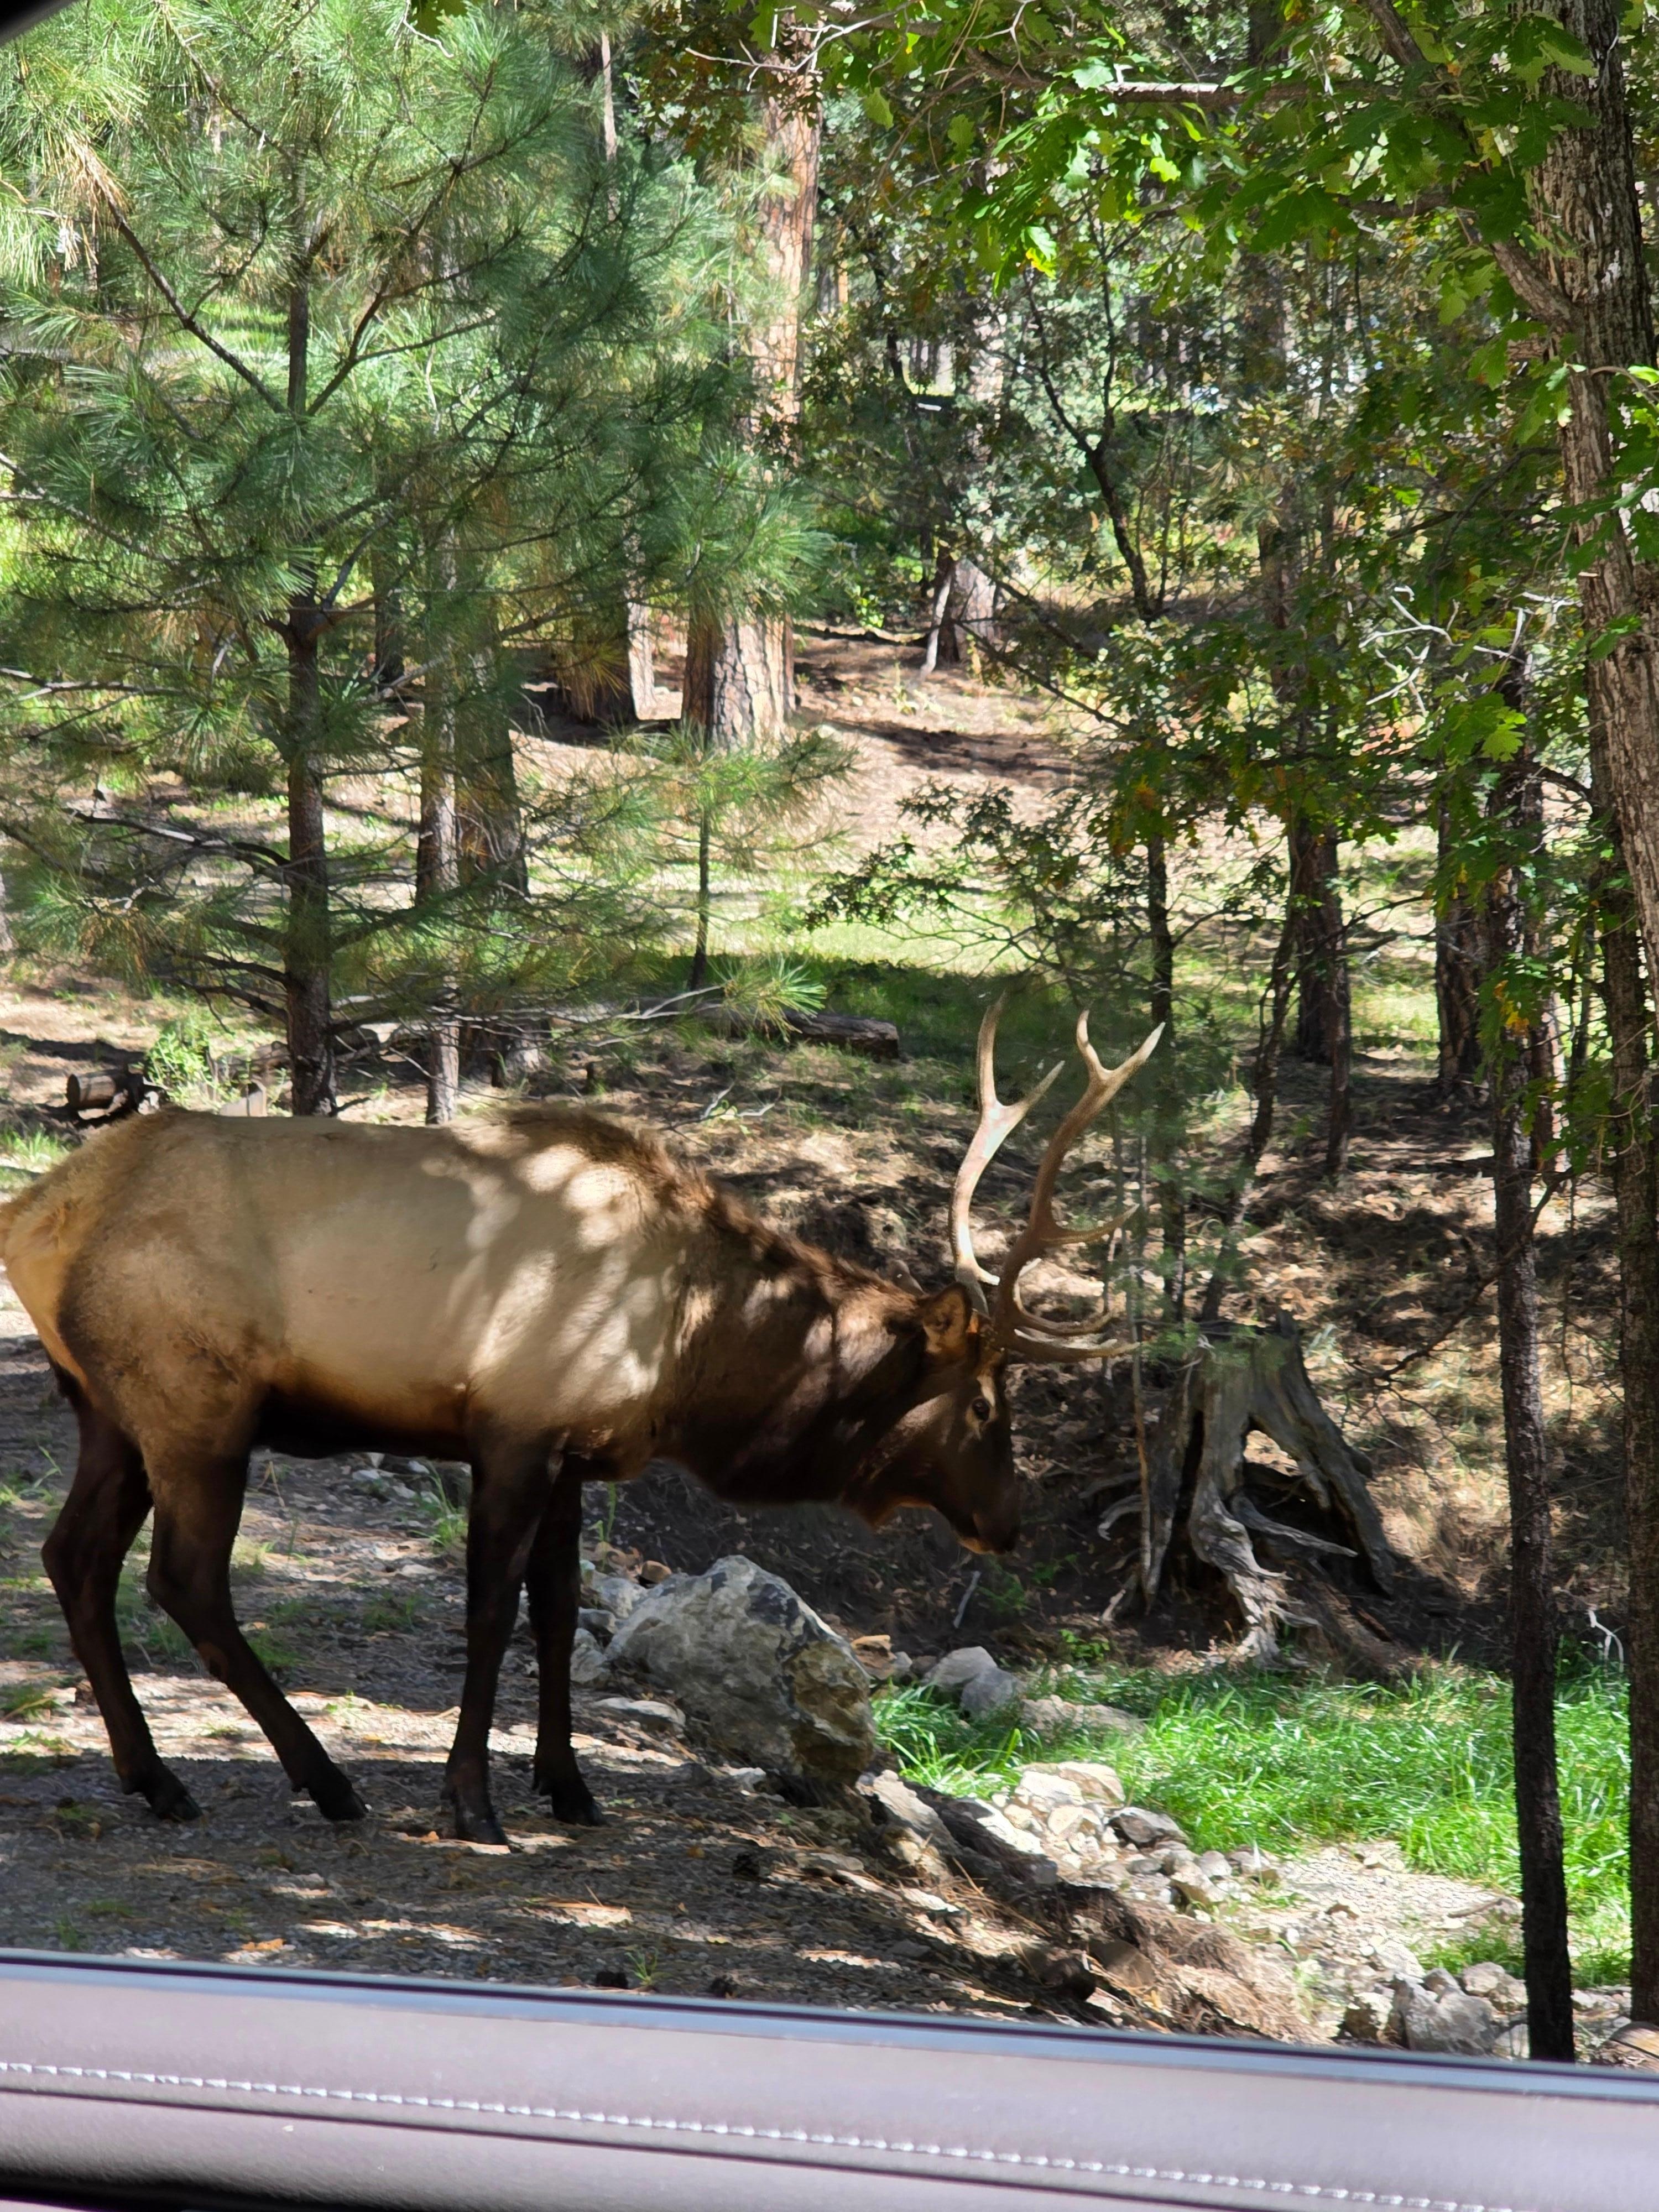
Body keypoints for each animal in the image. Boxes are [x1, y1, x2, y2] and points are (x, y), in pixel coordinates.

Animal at [0, 1004, 1157, 1844]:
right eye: (987, 1402)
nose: (1008, 1522)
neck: (696, 1349)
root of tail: (33, 1217)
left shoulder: (575, 1455)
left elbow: (557, 1614)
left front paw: (568, 1788)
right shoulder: (512, 1431)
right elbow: (489, 1613)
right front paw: (472, 1801)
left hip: (107, 1410)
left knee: (74, 1558)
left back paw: (154, 1778)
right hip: (195, 1404)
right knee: (183, 1579)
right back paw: (322, 1782)